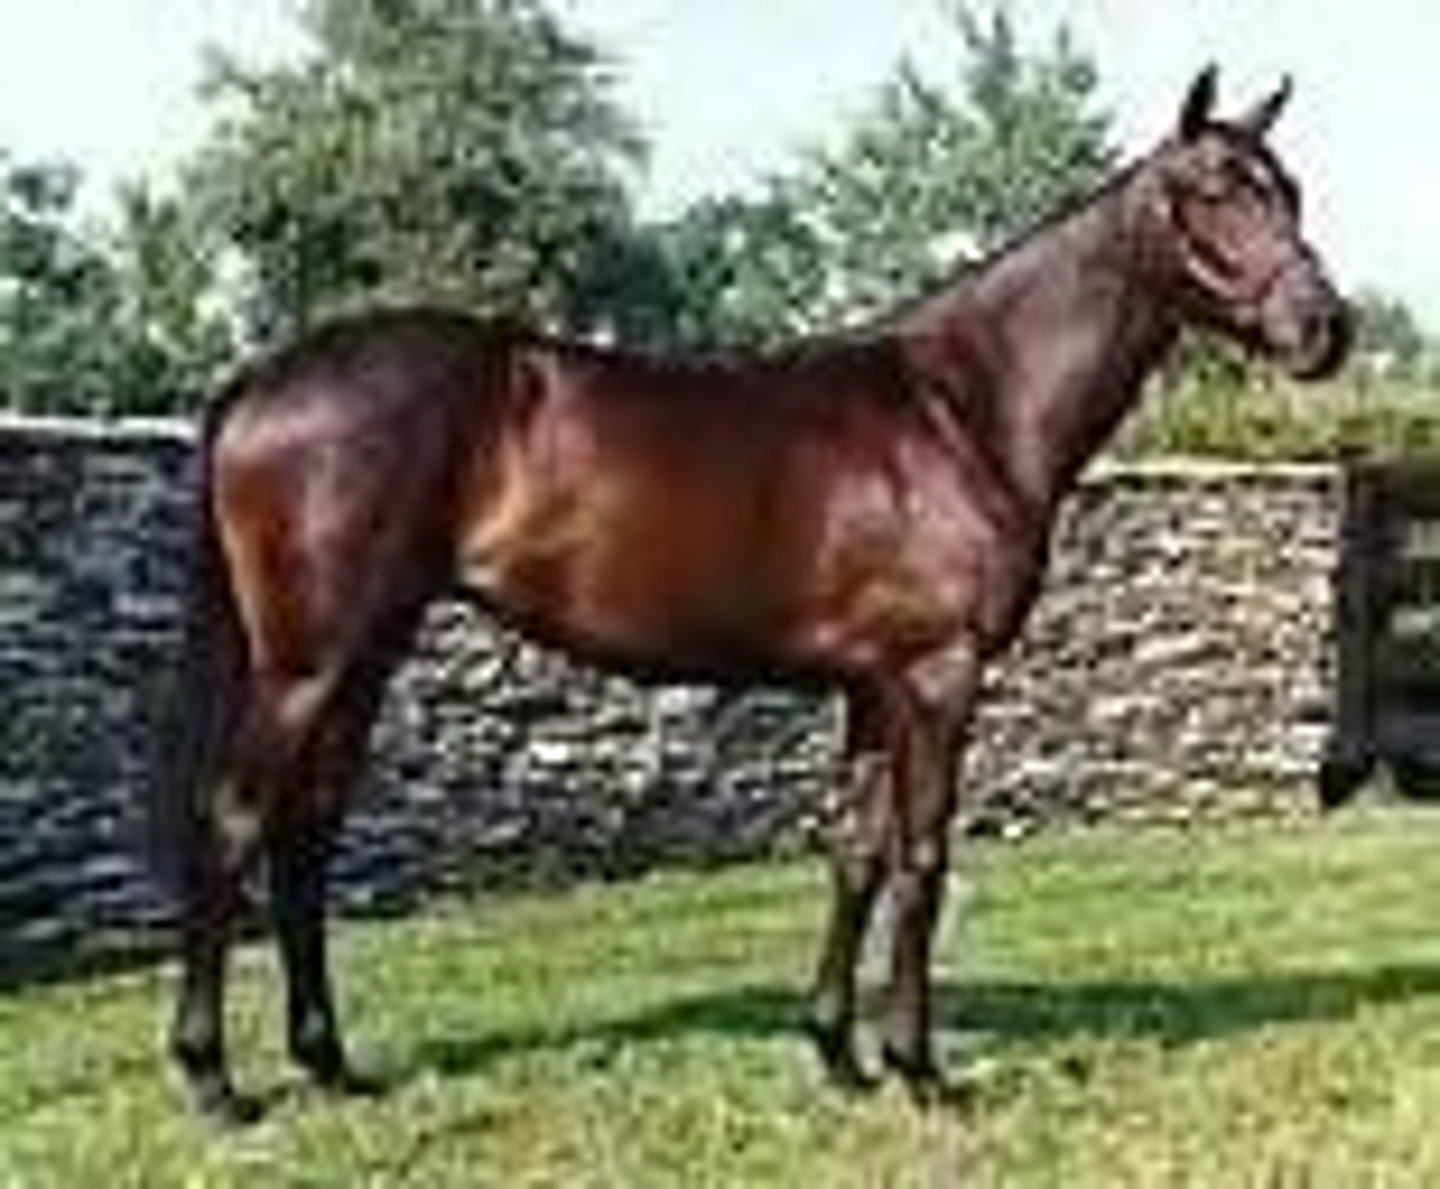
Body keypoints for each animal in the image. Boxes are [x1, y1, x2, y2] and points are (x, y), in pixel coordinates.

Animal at [156, 66, 1349, 1123]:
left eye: (1289, 187)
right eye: (1212, 190)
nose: (1328, 328)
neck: (961, 409)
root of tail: (258, 381)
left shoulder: (872, 685)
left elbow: (855, 854)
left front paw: (840, 1056)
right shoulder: (938, 676)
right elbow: (923, 859)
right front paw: (921, 1071)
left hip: (368, 651)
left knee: (307, 832)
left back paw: (330, 1064)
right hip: (308, 663)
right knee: (235, 819)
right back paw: (215, 1081)